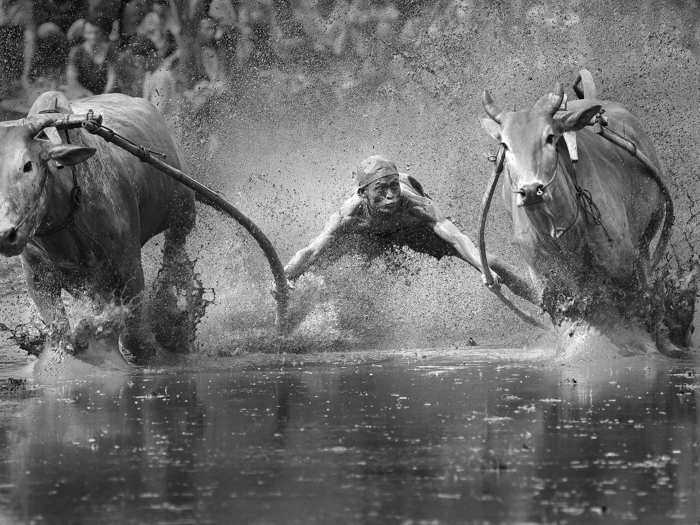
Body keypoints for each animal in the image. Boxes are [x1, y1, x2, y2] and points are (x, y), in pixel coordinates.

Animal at [478, 81, 668, 334]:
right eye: (505, 145)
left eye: (550, 137)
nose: (531, 190)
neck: (560, 233)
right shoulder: (549, 286)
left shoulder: (623, 270)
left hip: (647, 237)